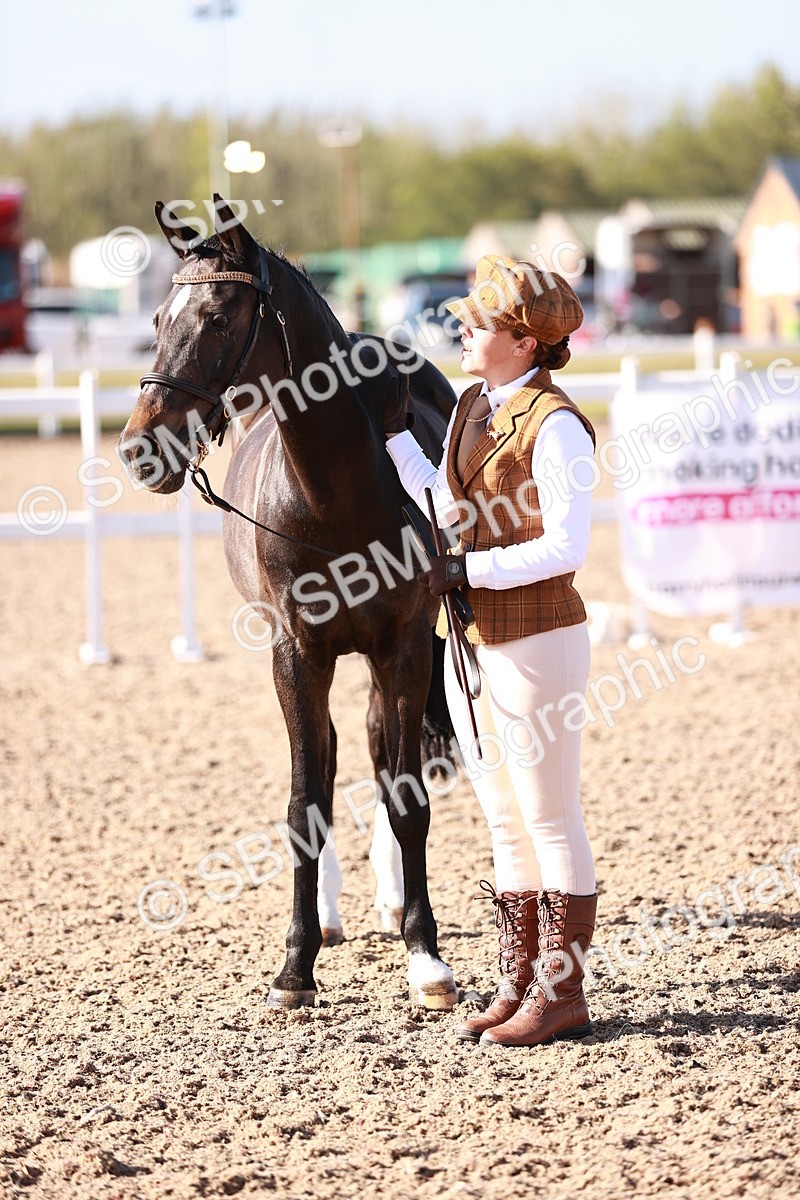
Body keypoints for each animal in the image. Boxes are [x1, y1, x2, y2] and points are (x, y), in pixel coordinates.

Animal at [118, 197, 460, 1011]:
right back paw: (332, 918)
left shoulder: (402, 646)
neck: (335, 497)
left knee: (377, 754)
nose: (140, 449)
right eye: (158, 319)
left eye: (217, 318)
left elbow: (405, 795)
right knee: (331, 763)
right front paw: (295, 967)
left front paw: (426, 958)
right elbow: (306, 801)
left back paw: (393, 904)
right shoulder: (296, 655)